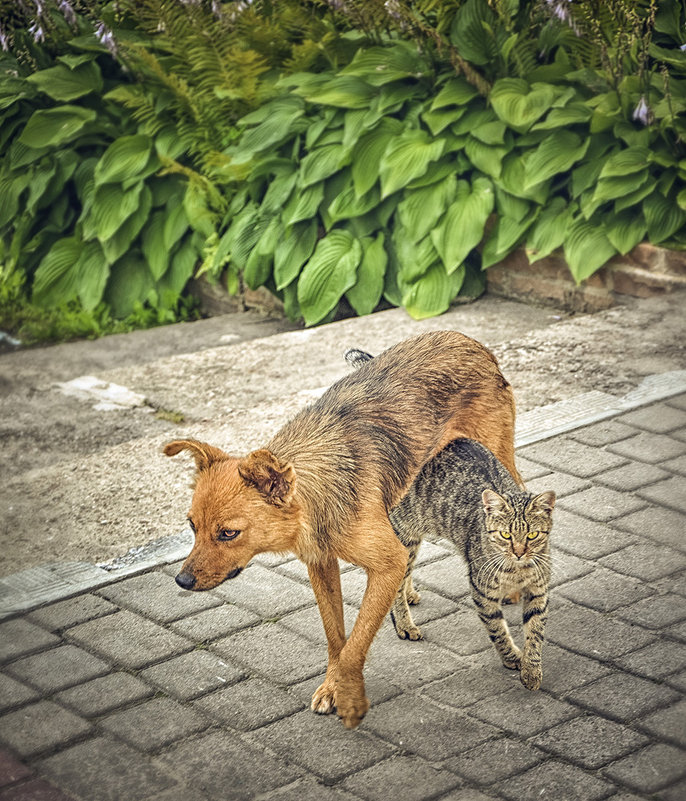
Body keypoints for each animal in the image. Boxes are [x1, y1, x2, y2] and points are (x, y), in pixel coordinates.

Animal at [165, 328, 520, 728]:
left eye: (228, 533)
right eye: (192, 526)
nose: (182, 581)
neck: (316, 495)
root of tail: (467, 340)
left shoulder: (385, 565)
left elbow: (355, 644)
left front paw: (349, 700)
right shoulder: (321, 565)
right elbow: (337, 638)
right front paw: (332, 688)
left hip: (500, 458)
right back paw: (408, 598)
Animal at [346, 346, 556, 692]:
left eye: (533, 536)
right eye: (505, 535)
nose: (519, 551)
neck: (517, 570)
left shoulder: (539, 592)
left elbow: (535, 634)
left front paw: (532, 670)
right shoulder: (482, 593)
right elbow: (498, 630)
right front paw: (513, 658)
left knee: (405, 572)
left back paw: (411, 594)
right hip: (404, 534)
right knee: (395, 580)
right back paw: (404, 622)